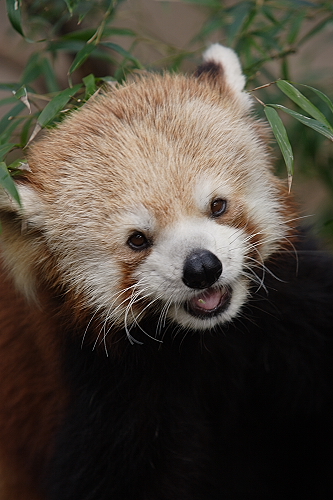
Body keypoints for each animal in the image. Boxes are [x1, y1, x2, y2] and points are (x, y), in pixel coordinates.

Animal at [0, 44, 332, 500]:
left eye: (218, 205)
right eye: (138, 239)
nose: (202, 267)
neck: (212, 341)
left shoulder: (301, 316)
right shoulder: (113, 395)